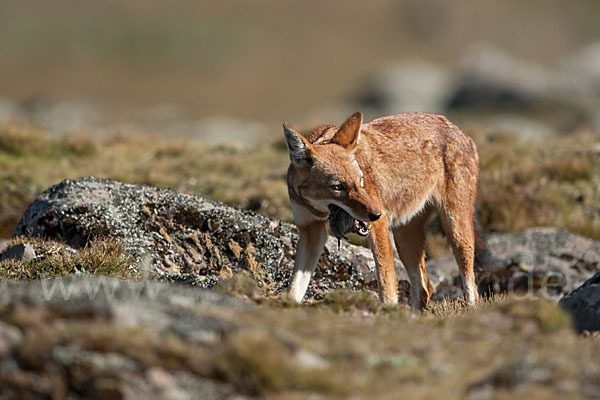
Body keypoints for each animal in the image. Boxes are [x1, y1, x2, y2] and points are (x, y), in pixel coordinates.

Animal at [282, 112, 492, 310]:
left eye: (360, 181)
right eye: (337, 187)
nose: (377, 214)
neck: (317, 208)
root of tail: (459, 130)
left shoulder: (378, 228)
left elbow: (386, 283)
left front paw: (387, 311)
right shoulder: (311, 231)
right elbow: (294, 287)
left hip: (455, 230)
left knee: (471, 287)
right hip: (405, 239)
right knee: (425, 288)